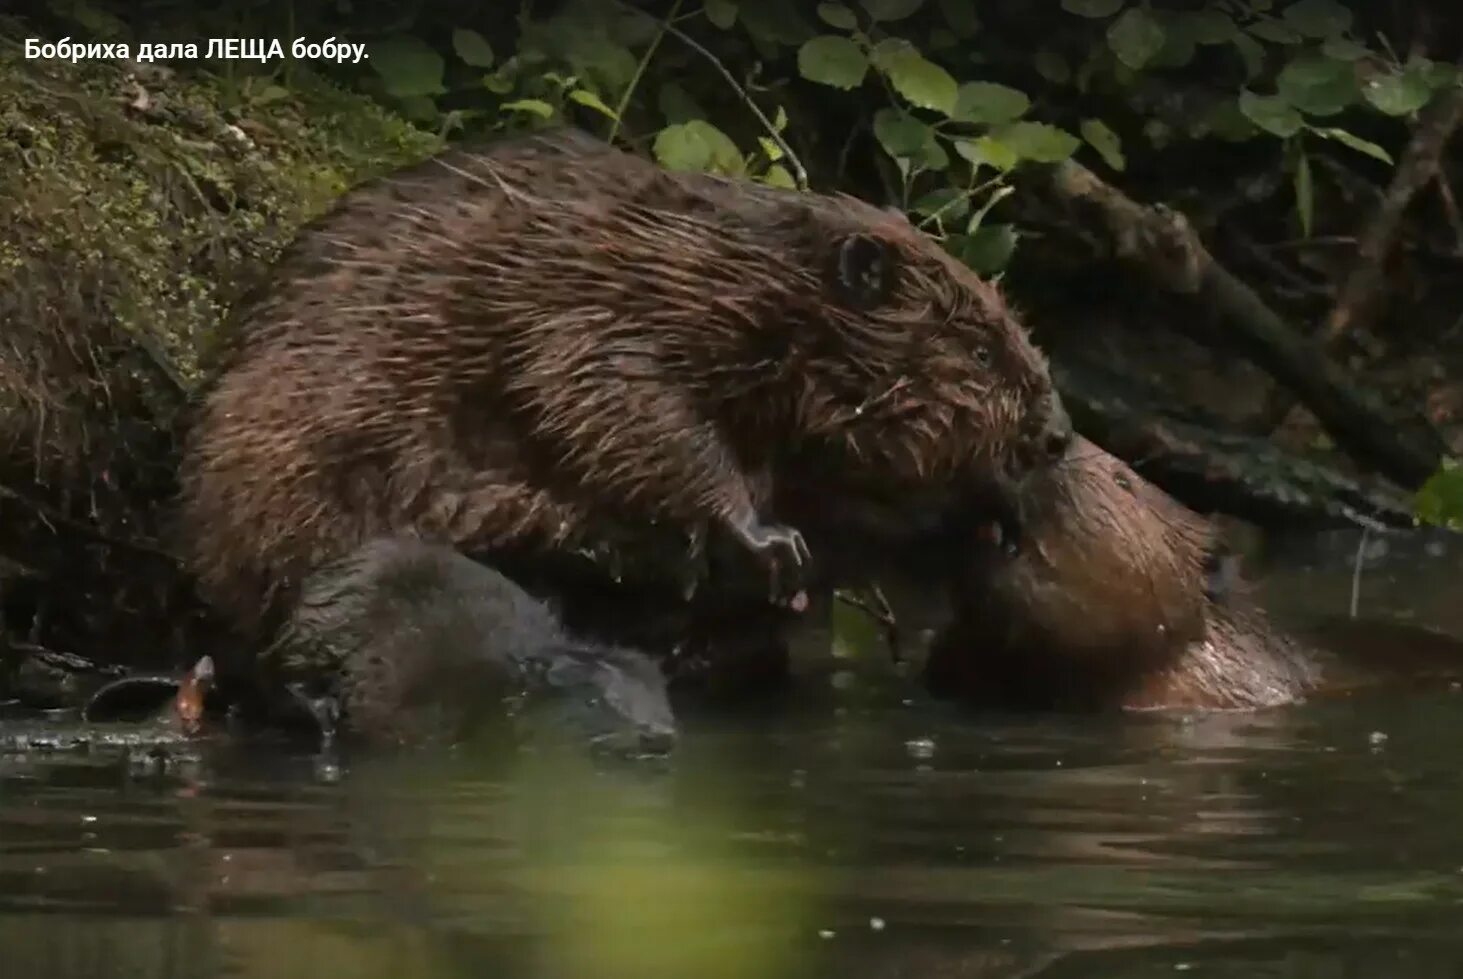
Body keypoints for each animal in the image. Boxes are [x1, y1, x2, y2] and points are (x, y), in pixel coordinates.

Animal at [177, 125, 1070, 638]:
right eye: (980, 349)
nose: (1057, 434)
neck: (729, 266)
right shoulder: (597, 309)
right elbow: (609, 397)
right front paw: (766, 540)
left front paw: (996, 505)